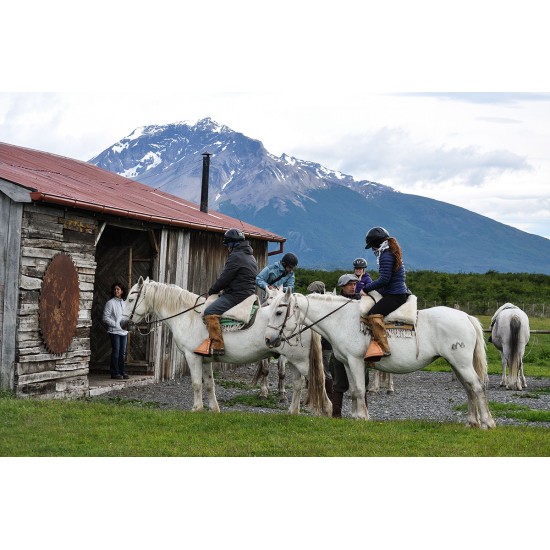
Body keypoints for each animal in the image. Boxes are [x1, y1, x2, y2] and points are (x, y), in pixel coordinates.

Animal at [121, 280, 332, 418]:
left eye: (131, 299)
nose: (123, 323)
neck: (188, 316)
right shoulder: (204, 359)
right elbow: (209, 384)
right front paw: (214, 409)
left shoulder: (192, 357)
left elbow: (196, 384)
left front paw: (196, 408)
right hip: (295, 361)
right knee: (297, 385)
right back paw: (292, 412)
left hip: (301, 362)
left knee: (319, 383)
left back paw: (327, 412)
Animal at [266, 292, 498, 430]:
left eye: (279, 311)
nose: (269, 340)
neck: (342, 320)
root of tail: (466, 317)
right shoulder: (348, 363)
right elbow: (354, 390)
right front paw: (357, 416)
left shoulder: (356, 360)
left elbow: (360, 390)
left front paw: (362, 418)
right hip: (456, 364)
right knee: (469, 388)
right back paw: (472, 422)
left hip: (461, 363)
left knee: (477, 387)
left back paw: (487, 422)